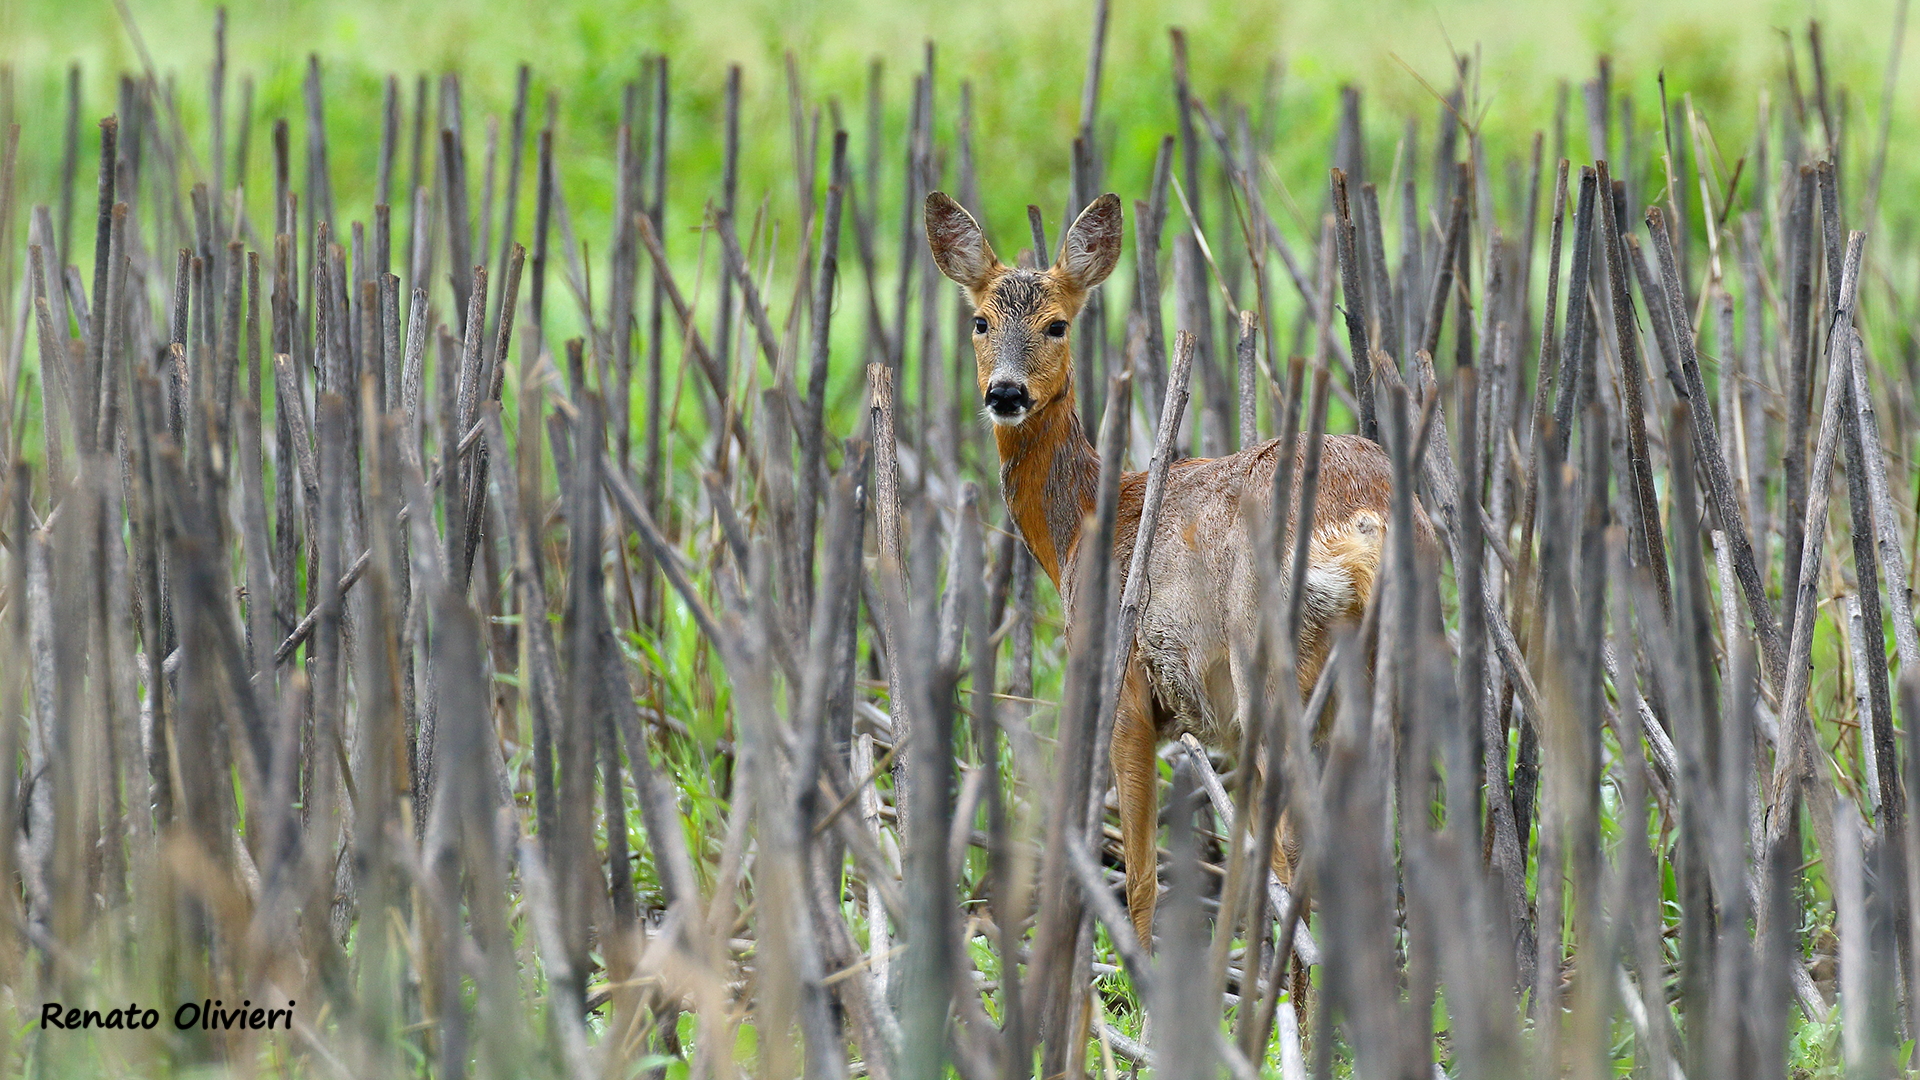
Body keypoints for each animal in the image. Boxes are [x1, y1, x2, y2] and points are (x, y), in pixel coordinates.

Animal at [925, 189, 1430, 947]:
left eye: (1058, 325)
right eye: (980, 320)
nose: (1005, 393)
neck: (1084, 522)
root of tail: (1364, 532)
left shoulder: (1126, 685)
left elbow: (1139, 879)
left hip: (1267, 668)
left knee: (1290, 852)